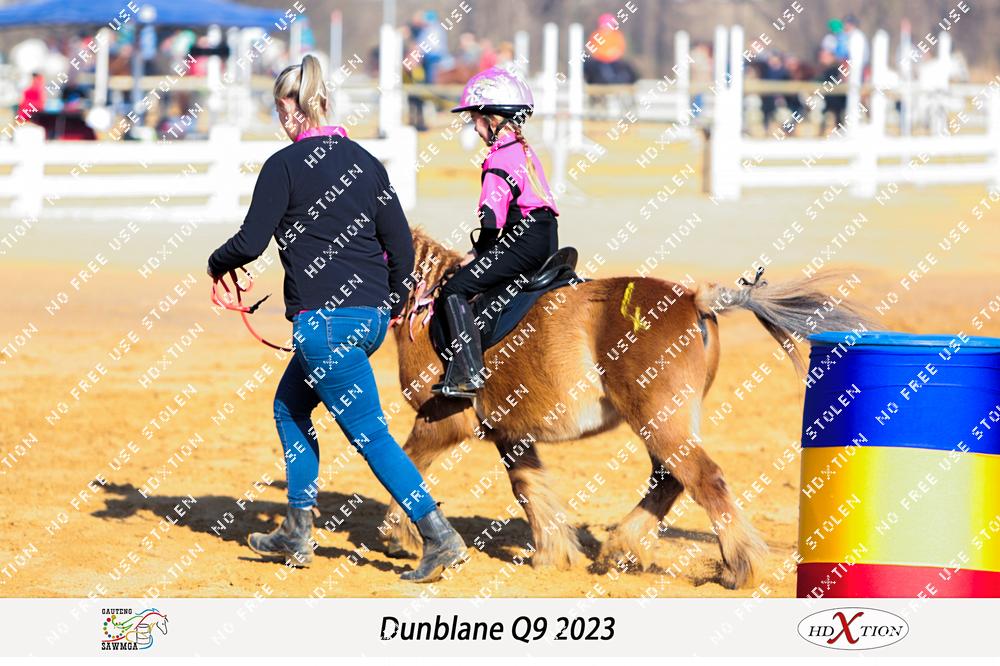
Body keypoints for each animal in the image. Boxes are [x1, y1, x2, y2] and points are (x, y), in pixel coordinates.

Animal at [380, 227, 868, 589]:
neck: (431, 306)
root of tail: (694, 299)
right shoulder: (509, 433)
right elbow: (529, 488)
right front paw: (554, 553)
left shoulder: (443, 421)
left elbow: (408, 465)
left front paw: (401, 535)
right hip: (664, 421)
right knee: (669, 480)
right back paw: (622, 549)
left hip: (657, 419)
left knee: (702, 478)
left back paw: (738, 567)